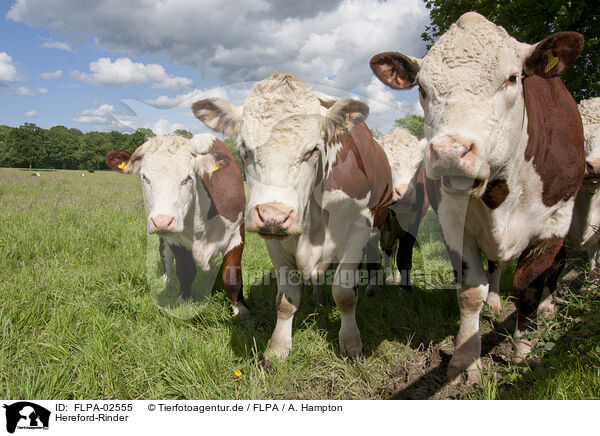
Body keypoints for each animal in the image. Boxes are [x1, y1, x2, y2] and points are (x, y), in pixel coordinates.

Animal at [105, 135, 248, 316]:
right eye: (145, 178)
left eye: (188, 178)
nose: (162, 221)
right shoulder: (176, 240)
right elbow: (185, 271)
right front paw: (184, 302)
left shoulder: (236, 234)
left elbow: (232, 276)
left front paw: (240, 310)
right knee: (165, 254)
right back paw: (167, 278)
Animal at [195, 72, 396, 362]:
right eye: (244, 149)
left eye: (313, 150)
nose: (273, 215)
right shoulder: (275, 242)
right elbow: (285, 300)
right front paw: (278, 349)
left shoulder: (357, 232)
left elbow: (345, 294)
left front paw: (351, 343)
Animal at [378, 131, 428, 292]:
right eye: (386, 163)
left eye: (418, 164)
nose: (404, 193)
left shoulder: (412, 228)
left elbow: (404, 258)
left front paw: (405, 289)